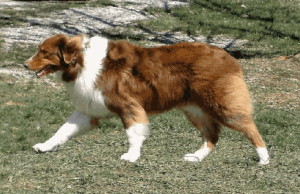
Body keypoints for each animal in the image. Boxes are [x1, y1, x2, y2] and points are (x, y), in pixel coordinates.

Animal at [24, 33, 270, 164]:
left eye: (44, 53)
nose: (24, 65)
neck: (81, 61)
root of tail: (229, 57)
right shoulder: (88, 110)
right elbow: (62, 131)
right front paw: (44, 146)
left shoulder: (129, 106)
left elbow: (134, 133)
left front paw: (131, 156)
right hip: (195, 110)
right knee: (212, 135)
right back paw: (197, 157)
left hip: (221, 106)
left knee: (250, 128)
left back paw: (263, 158)